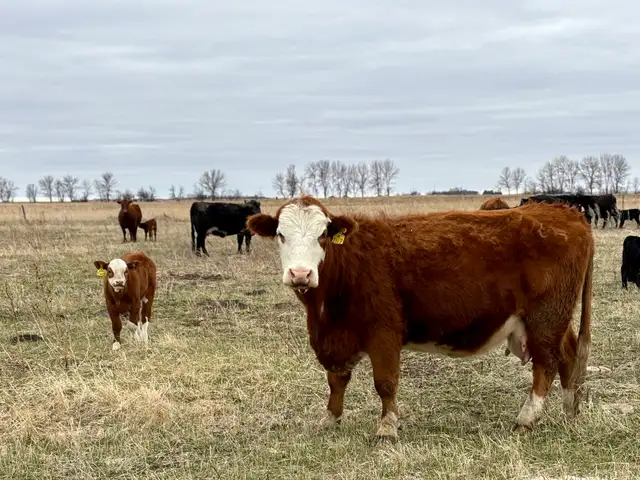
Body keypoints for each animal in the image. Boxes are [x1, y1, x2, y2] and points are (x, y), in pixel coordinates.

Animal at [247, 195, 593, 439]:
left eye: (322, 235)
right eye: (280, 235)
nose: (300, 274)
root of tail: (564, 212)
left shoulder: (384, 332)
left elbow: (385, 383)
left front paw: (387, 428)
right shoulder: (336, 336)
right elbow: (336, 381)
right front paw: (330, 419)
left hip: (544, 318)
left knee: (546, 364)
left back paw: (527, 418)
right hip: (553, 319)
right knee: (568, 356)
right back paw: (570, 411)